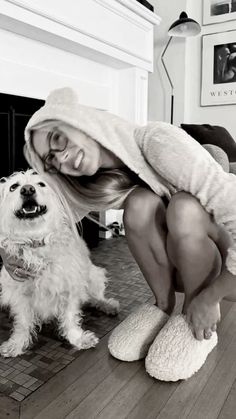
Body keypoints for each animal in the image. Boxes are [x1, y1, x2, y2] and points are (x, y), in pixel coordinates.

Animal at [0, 170, 119, 358]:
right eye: (14, 186)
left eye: (41, 184)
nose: (27, 190)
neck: (36, 240)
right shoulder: (20, 295)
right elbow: (23, 323)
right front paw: (17, 344)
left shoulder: (69, 289)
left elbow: (70, 318)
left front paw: (78, 338)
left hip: (94, 276)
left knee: (95, 297)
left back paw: (107, 305)